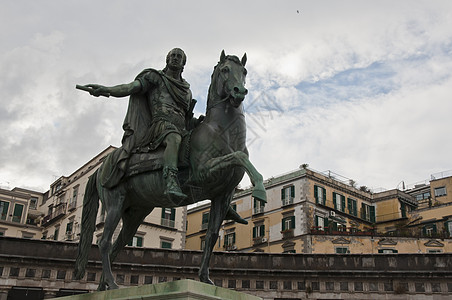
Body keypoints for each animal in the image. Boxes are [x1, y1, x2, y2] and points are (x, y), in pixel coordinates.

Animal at [73, 49, 264, 290]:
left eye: (244, 71)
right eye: (225, 69)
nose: (240, 91)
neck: (222, 132)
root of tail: (100, 169)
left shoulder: (223, 195)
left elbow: (211, 237)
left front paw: (205, 278)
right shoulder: (203, 173)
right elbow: (239, 157)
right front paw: (260, 190)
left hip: (135, 213)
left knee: (117, 245)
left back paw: (103, 288)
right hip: (115, 202)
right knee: (105, 243)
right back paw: (113, 285)